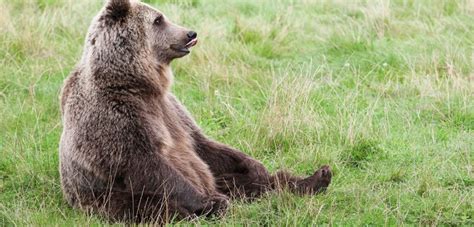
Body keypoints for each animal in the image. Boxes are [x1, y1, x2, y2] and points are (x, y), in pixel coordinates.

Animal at [59, 0, 332, 223]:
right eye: (158, 19)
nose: (190, 33)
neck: (138, 82)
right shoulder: (115, 114)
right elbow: (144, 163)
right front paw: (209, 203)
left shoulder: (172, 109)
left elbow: (202, 144)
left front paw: (256, 166)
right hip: (103, 198)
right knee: (150, 206)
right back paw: (205, 208)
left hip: (219, 178)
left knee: (252, 183)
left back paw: (316, 178)